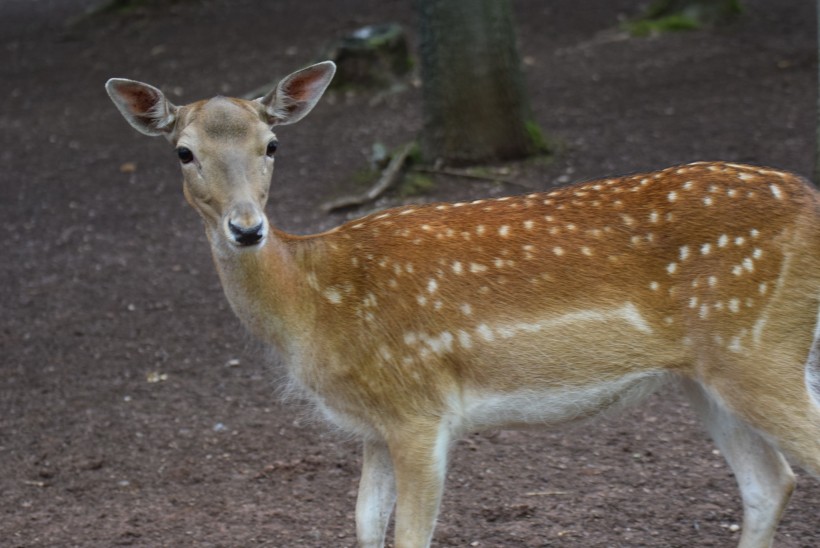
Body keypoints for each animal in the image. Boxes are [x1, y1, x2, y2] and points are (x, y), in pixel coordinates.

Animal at [107, 61, 820, 548]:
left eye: (272, 145)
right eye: (184, 151)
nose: (247, 228)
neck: (312, 306)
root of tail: (808, 196)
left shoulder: (418, 409)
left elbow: (407, 537)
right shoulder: (373, 426)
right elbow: (363, 525)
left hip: (761, 349)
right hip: (707, 374)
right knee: (769, 482)